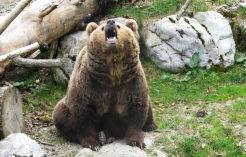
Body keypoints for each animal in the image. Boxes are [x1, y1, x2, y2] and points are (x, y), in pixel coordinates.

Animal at [52, 18, 159, 151]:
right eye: (102, 28)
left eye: (118, 26)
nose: (110, 21)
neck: (113, 72)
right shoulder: (90, 83)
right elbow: (83, 112)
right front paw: (92, 143)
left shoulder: (130, 81)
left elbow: (136, 108)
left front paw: (136, 141)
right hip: (64, 106)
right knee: (61, 116)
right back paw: (101, 136)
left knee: (148, 104)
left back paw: (150, 125)